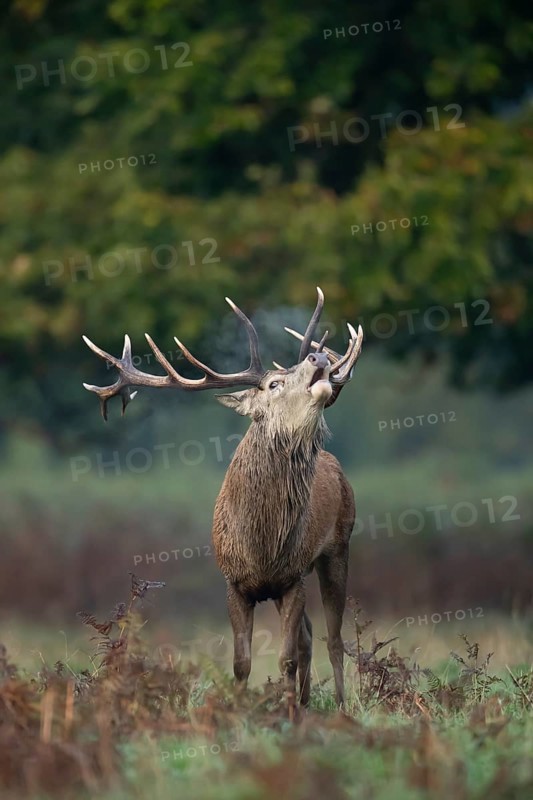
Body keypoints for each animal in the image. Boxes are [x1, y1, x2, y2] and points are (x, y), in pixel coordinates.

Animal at [82, 288, 363, 707]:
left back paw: (339, 705)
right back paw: (306, 699)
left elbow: (285, 658)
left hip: (338, 546)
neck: (262, 545)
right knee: (311, 635)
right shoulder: (234, 582)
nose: (320, 358)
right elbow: (241, 662)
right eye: (273, 384)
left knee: (332, 639)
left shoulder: (292, 577)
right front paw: (243, 708)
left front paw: (286, 712)